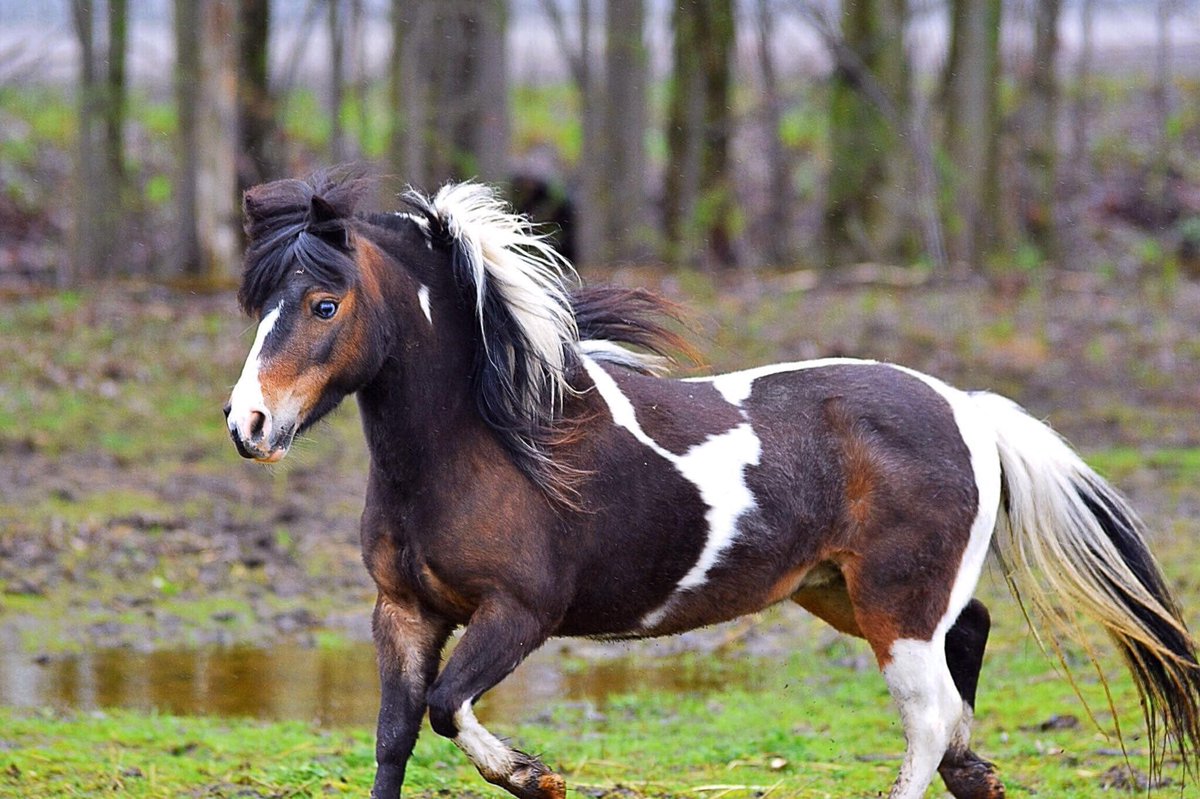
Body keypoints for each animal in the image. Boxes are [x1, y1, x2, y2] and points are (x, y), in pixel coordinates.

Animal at [224, 171, 1200, 799]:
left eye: (324, 305)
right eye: (259, 304)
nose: (248, 424)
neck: (479, 444)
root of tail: (967, 405)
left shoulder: (520, 611)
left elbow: (446, 706)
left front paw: (537, 776)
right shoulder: (405, 611)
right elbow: (393, 737)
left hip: (896, 605)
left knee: (927, 718)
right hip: (842, 591)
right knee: (968, 655)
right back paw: (977, 772)